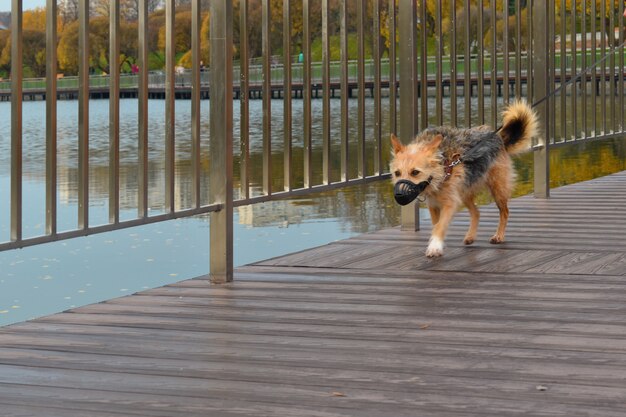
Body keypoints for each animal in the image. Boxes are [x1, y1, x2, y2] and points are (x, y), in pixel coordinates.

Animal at [390, 101, 536, 256]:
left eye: (415, 172)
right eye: (397, 173)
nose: (399, 195)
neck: (442, 167)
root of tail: (498, 138)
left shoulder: (450, 203)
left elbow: (440, 226)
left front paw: (435, 246)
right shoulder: (433, 205)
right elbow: (436, 225)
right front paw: (436, 242)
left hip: (498, 189)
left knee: (505, 212)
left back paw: (499, 235)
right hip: (465, 191)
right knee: (476, 212)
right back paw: (471, 236)